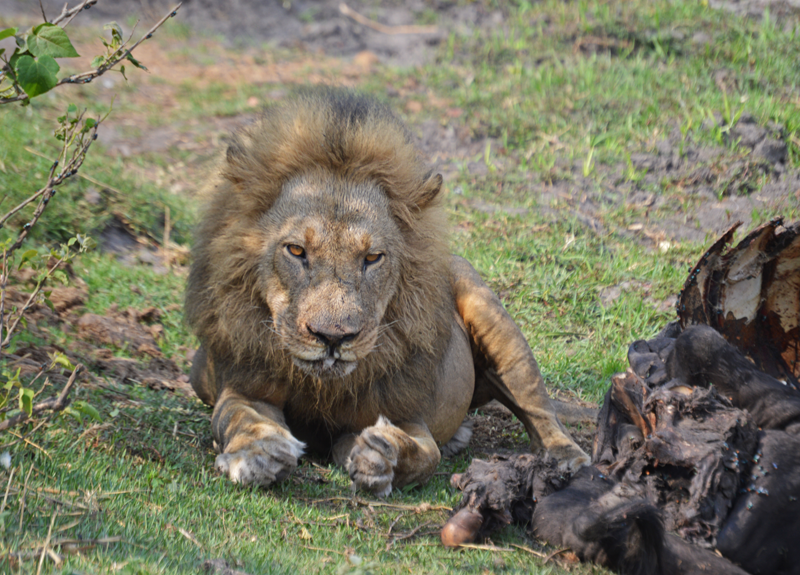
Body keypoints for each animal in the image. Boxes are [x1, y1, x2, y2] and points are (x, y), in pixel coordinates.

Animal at [185, 90, 589, 496]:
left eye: (372, 258)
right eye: (297, 251)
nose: (333, 339)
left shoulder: (405, 414)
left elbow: (426, 454)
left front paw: (383, 456)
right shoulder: (244, 383)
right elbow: (237, 416)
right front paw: (258, 453)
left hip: (489, 313)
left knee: (537, 405)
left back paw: (565, 460)